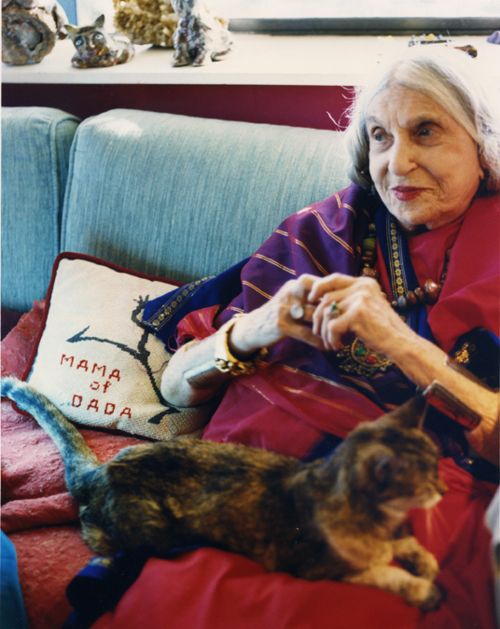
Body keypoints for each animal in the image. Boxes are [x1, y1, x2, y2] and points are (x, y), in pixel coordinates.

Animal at [1, 376, 446, 610]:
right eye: (427, 477)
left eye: (439, 464)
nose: (442, 488)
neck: (380, 522)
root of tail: (101, 470)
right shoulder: (318, 568)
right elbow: (385, 573)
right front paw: (423, 587)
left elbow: (407, 546)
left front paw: (426, 563)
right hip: (152, 528)